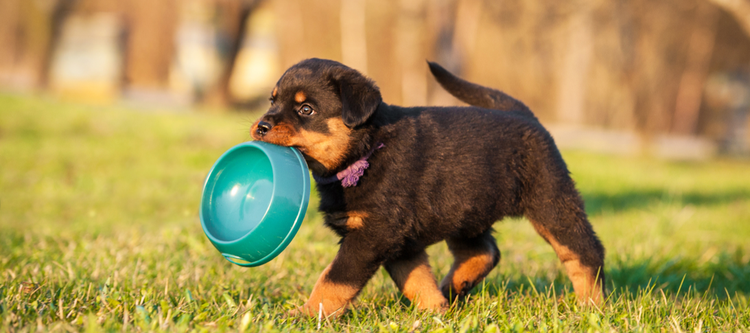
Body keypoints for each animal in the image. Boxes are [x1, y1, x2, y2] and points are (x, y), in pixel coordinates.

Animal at [251, 58, 604, 316]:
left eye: (305, 109)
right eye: (272, 101)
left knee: (585, 252)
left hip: (551, 201)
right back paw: (453, 288)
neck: (366, 150)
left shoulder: (374, 233)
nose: (261, 126)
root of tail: (525, 114)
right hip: (467, 210)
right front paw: (435, 311)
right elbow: (416, 279)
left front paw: (306, 313)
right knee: (484, 251)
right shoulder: (399, 240)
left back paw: (592, 306)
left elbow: (334, 278)